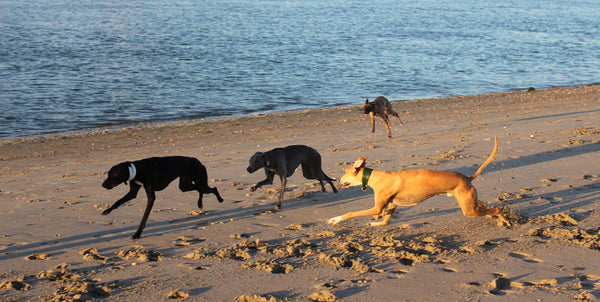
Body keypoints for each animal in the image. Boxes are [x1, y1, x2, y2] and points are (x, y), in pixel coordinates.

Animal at [328, 137, 510, 226]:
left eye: (344, 172)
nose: (339, 180)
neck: (375, 176)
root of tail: (467, 177)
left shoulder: (377, 207)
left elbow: (351, 213)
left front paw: (335, 219)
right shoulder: (391, 204)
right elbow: (385, 220)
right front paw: (376, 223)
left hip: (469, 210)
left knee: (495, 209)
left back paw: (505, 220)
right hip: (470, 201)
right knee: (484, 204)